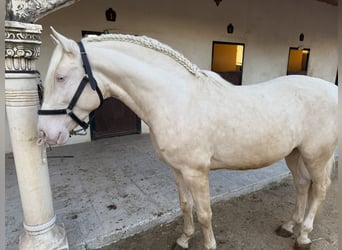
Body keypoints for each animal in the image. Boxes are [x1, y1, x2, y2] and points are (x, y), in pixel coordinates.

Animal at [37, 27, 336, 250]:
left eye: (61, 77)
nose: (45, 133)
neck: (177, 100)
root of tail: (332, 89)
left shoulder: (196, 172)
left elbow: (204, 212)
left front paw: (208, 245)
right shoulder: (178, 170)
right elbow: (185, 205)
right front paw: (183, 239)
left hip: (316, 156)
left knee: (320, 189)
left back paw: (304, 235)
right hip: (294, 153)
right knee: (301, 185)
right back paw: (289, 226)